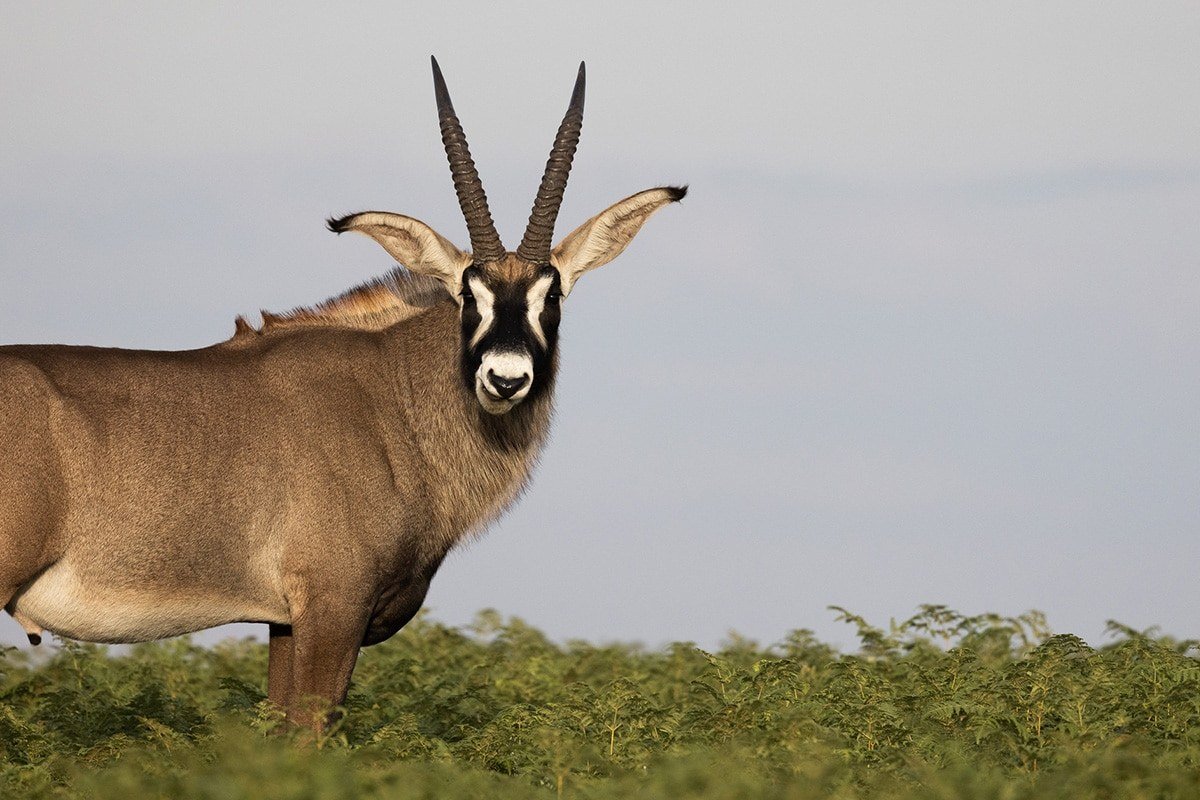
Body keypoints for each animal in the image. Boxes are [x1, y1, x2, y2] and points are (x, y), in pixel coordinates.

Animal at [0, 58, 684, 728]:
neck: (394, 404)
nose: (506, 377)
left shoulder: (283, 622)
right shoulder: (334, 605)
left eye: (553, 294)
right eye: (469, 294)